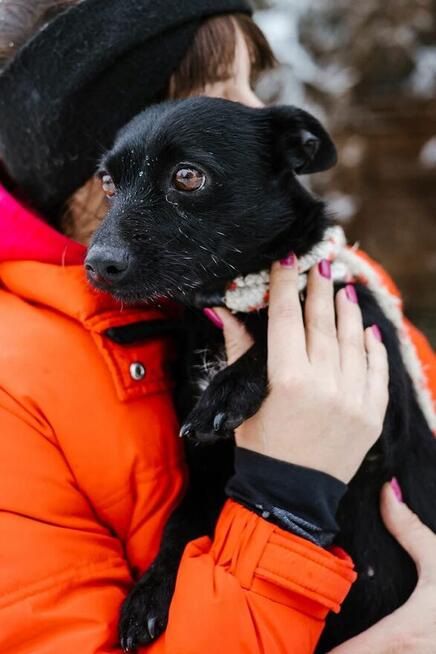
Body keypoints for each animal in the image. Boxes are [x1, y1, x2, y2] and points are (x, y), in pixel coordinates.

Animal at [85, 97, 436, 654]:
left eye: (187, 176)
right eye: (107, 183)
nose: (97, 264)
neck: (231, 306)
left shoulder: (381, 409)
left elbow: (279, 339)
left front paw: (227, 389)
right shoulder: (208, 469)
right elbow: (180, 524)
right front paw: (149, 594)